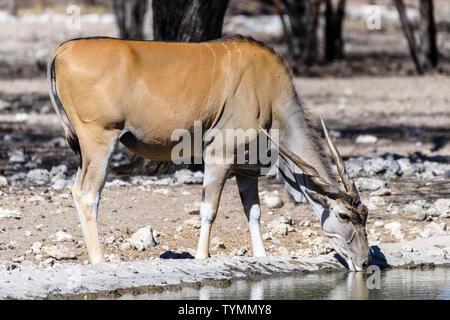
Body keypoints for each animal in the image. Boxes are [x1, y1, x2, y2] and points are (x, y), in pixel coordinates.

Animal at [47, 35, 370, 270]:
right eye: (344, 215)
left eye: (365, 216)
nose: (366, 262)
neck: (267, 90)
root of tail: (62, 51)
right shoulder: (219, 155)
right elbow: (209, 209)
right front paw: (202, 256)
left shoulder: (246, 168)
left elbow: (254, 212)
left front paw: (262, 255)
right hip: (99, 139)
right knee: (87, 193)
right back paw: (99, 260)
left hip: (86, 149)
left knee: (78, 190)